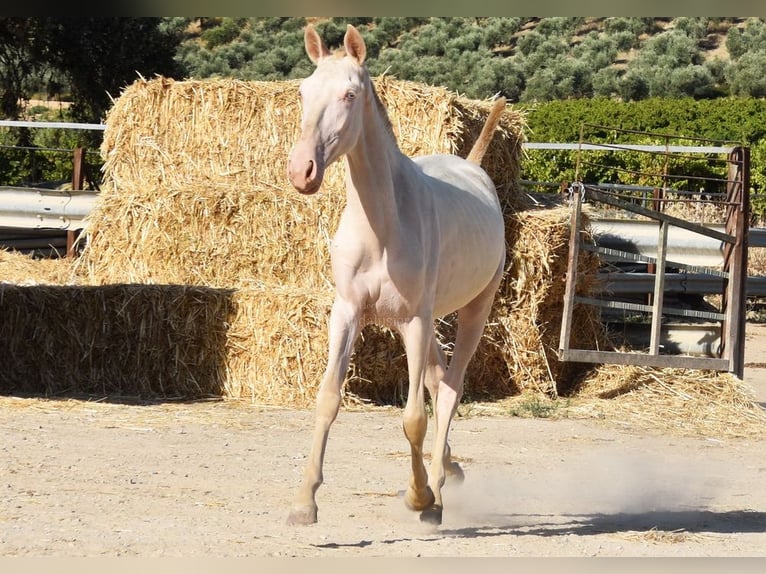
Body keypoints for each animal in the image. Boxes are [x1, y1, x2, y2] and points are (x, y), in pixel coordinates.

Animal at [284, 23, 508, 528]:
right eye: (304, 91)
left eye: (349, 94)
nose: (302, 171)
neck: (383, 228)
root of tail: (474, 167)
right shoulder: (347, 313)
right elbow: (328, 399)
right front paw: (304, 501)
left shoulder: (414, 322)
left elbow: (413, 419)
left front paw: (419, 497)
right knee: (439, 381)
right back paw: (450, 468)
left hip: (472, 310)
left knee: (449, 389)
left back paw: (438, 490)